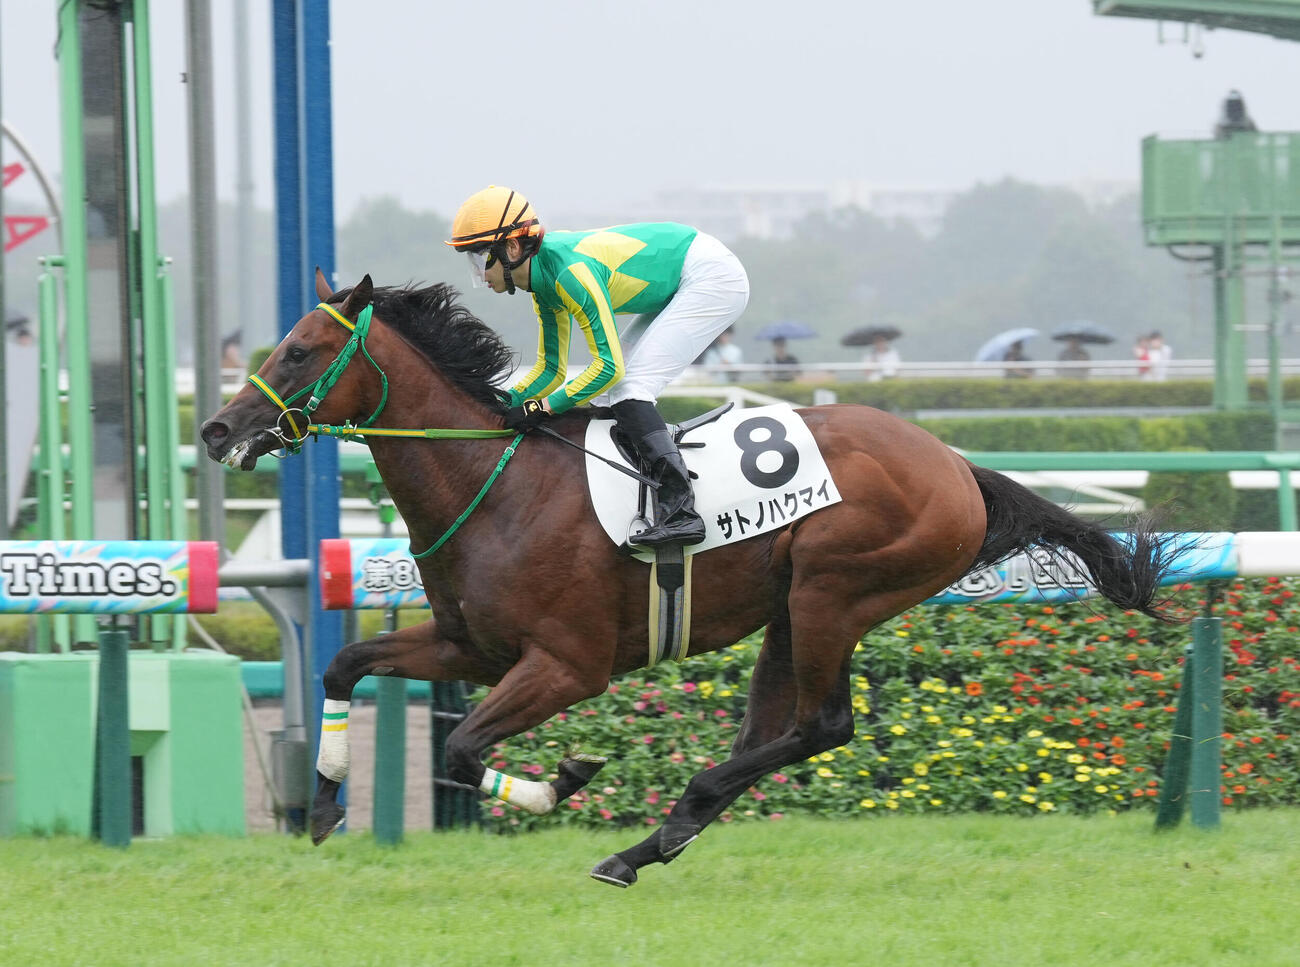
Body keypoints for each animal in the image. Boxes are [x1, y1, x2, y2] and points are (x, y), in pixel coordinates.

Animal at [200, 272, 1179, 888]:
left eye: (298, 351)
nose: (216, 429)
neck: (498, 485)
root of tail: (955, 464)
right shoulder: (470, 646)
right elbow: (345, 664)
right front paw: (324, 803)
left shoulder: (567, 665)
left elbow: (463, 750)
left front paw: (565, 777)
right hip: (789, 610)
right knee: (777, 728)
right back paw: (654, 840)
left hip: (834, 590)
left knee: (821, 725)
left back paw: (663, 824)